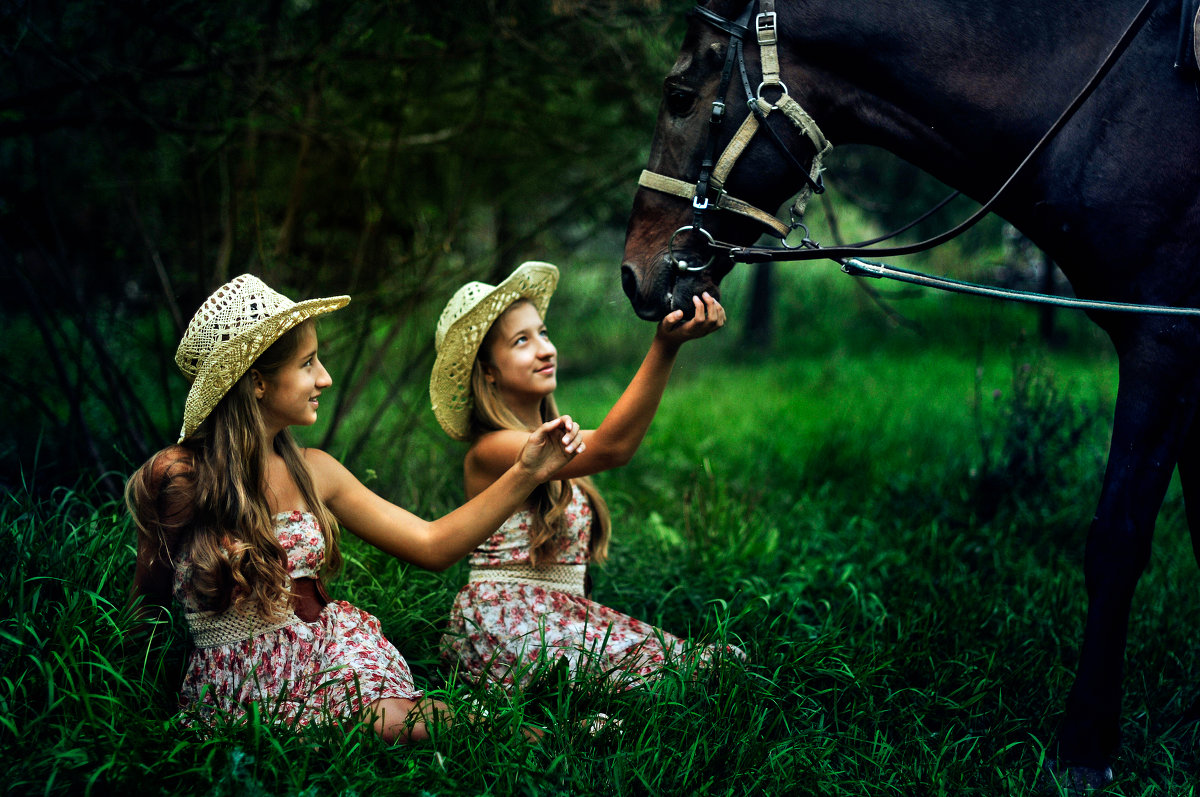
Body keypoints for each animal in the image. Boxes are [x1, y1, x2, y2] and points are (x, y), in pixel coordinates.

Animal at [619, 0, 1200, 782]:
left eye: (680, 95)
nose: (632, 272)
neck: (1116, 100)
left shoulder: (1163, 345)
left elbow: (1118, 539)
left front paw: (1084, 746)